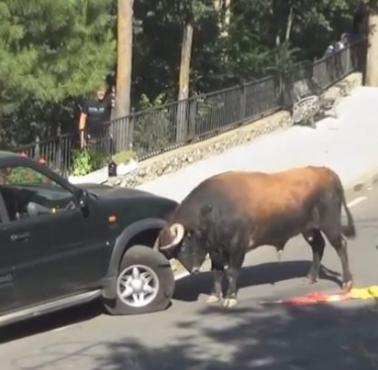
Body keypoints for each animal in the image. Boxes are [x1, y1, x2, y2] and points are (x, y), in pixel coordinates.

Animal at [158, 166, 356, 308]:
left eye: (183, 246)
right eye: (173, 254)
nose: (194, 270)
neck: (213, 210)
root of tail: (327, 172)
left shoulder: (237, 248)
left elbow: (231, 272)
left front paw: (230, 298)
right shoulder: (216, 252)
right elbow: (217, 273)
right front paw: (215, 296)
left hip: (330, 225)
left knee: (341, 246)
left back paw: (347, 282)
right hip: (309, 229)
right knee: (318, 246)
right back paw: (310, 277)